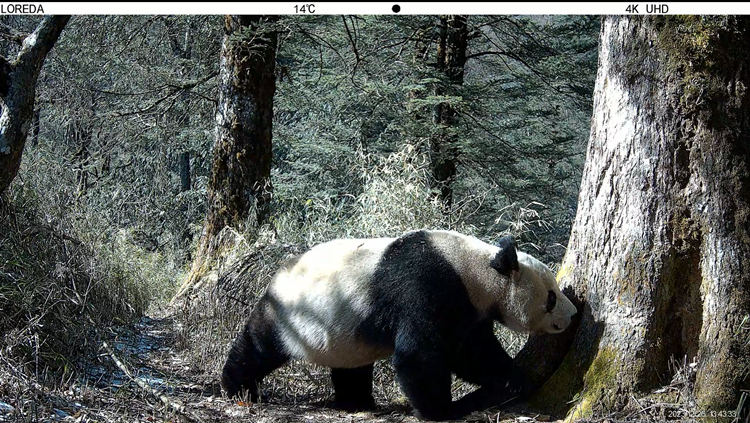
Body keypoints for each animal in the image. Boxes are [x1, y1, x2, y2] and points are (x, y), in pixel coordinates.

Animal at [220, 230, 580, 422]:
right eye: (550, 297)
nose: (574, 313)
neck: (477, 269)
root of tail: (278, 273)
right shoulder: (427, 285)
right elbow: (419, 354)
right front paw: (441, 409)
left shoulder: (469, 309)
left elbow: (474, 353)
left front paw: (513, 379)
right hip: (292, 312)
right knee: (259, 345)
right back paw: (238, 388)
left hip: (345, 328)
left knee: (351, 365)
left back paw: (357, 401)